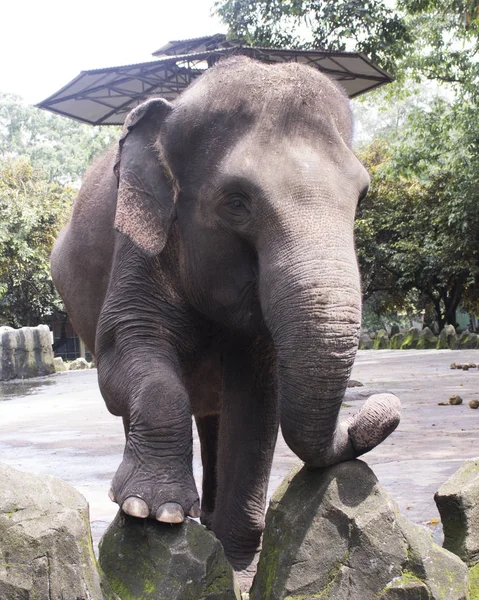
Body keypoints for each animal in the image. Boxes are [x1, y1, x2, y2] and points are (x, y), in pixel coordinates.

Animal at [50, 55, 402, 580]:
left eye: (361, 199)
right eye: (236, 202)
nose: (385, 406)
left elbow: (258, 399)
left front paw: (235, 566)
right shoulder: (137, 246)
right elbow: (127, 355)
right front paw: (154, 511)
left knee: (215, 415)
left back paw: (210, 519)